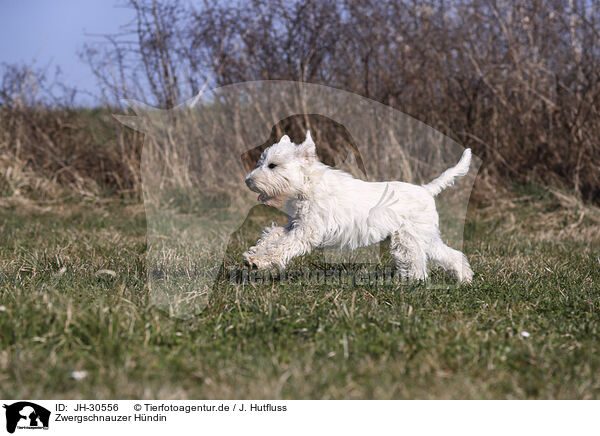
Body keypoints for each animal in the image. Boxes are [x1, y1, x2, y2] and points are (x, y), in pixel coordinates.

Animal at [244, 130, 474, 282]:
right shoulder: (296, 224)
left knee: (419, 263)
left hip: (409, 239)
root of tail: (426, 190)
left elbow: (282, 246)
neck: (307, 184)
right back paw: (464, 278)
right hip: (425, 237)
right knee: (451, 255)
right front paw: (253, 253)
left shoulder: (307, 231)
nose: (248, 181)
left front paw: (258, 260)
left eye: (273, 165)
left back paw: (414, 284)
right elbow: (273, 234)